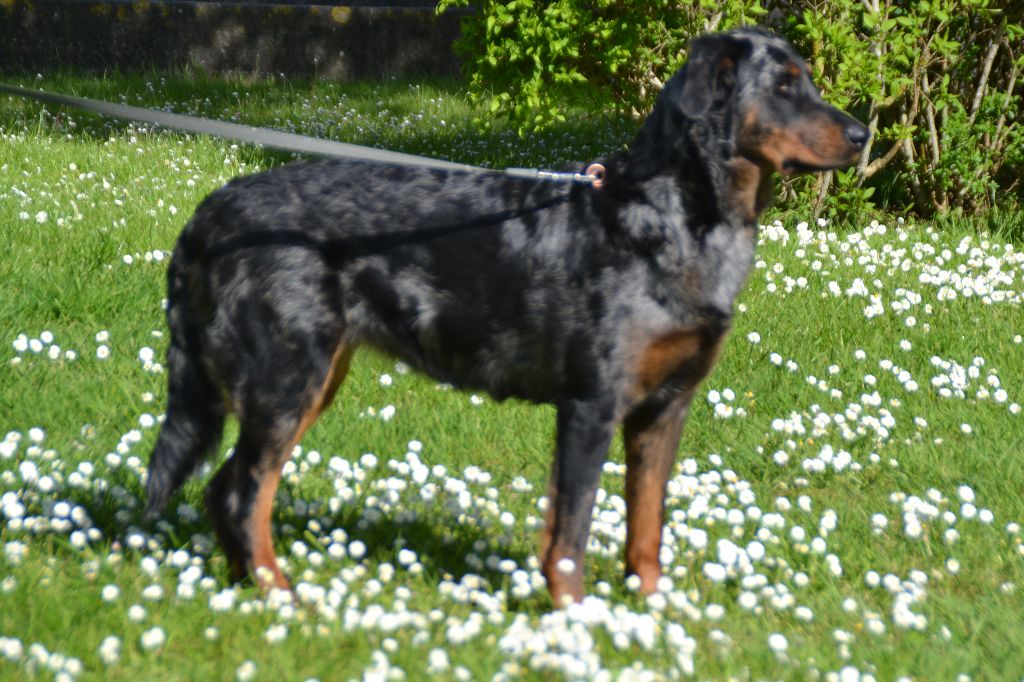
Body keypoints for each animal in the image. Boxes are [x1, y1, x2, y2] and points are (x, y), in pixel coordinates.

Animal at [142, 26, 864, 602]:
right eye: (786, 85)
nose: (863, 133)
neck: (671, 217)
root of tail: (209, 213)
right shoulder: (591, 404)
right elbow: (570, 532)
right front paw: (575, 620)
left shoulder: (664, 409)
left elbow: (646, 526)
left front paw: (650, 610)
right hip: (289, 377)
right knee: (243, 493)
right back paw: (280, 594)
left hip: (309, 379)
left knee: (224, 488)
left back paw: (248, 587)